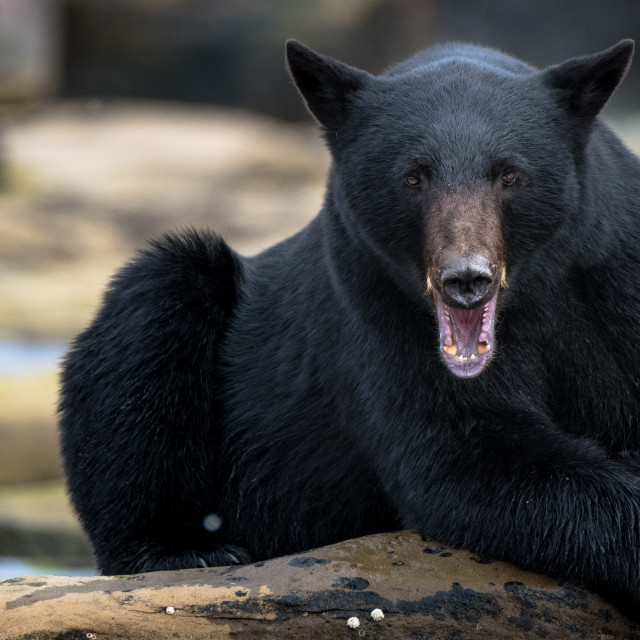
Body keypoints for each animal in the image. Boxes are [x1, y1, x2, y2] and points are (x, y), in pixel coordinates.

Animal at [60, 40, 640, 616]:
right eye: (414, 176)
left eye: (510, 174)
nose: (466, 278)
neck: (533, 297)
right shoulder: (375, 311)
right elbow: (464, 456)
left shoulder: (614, 282)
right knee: (153, 314)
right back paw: (186, 550)